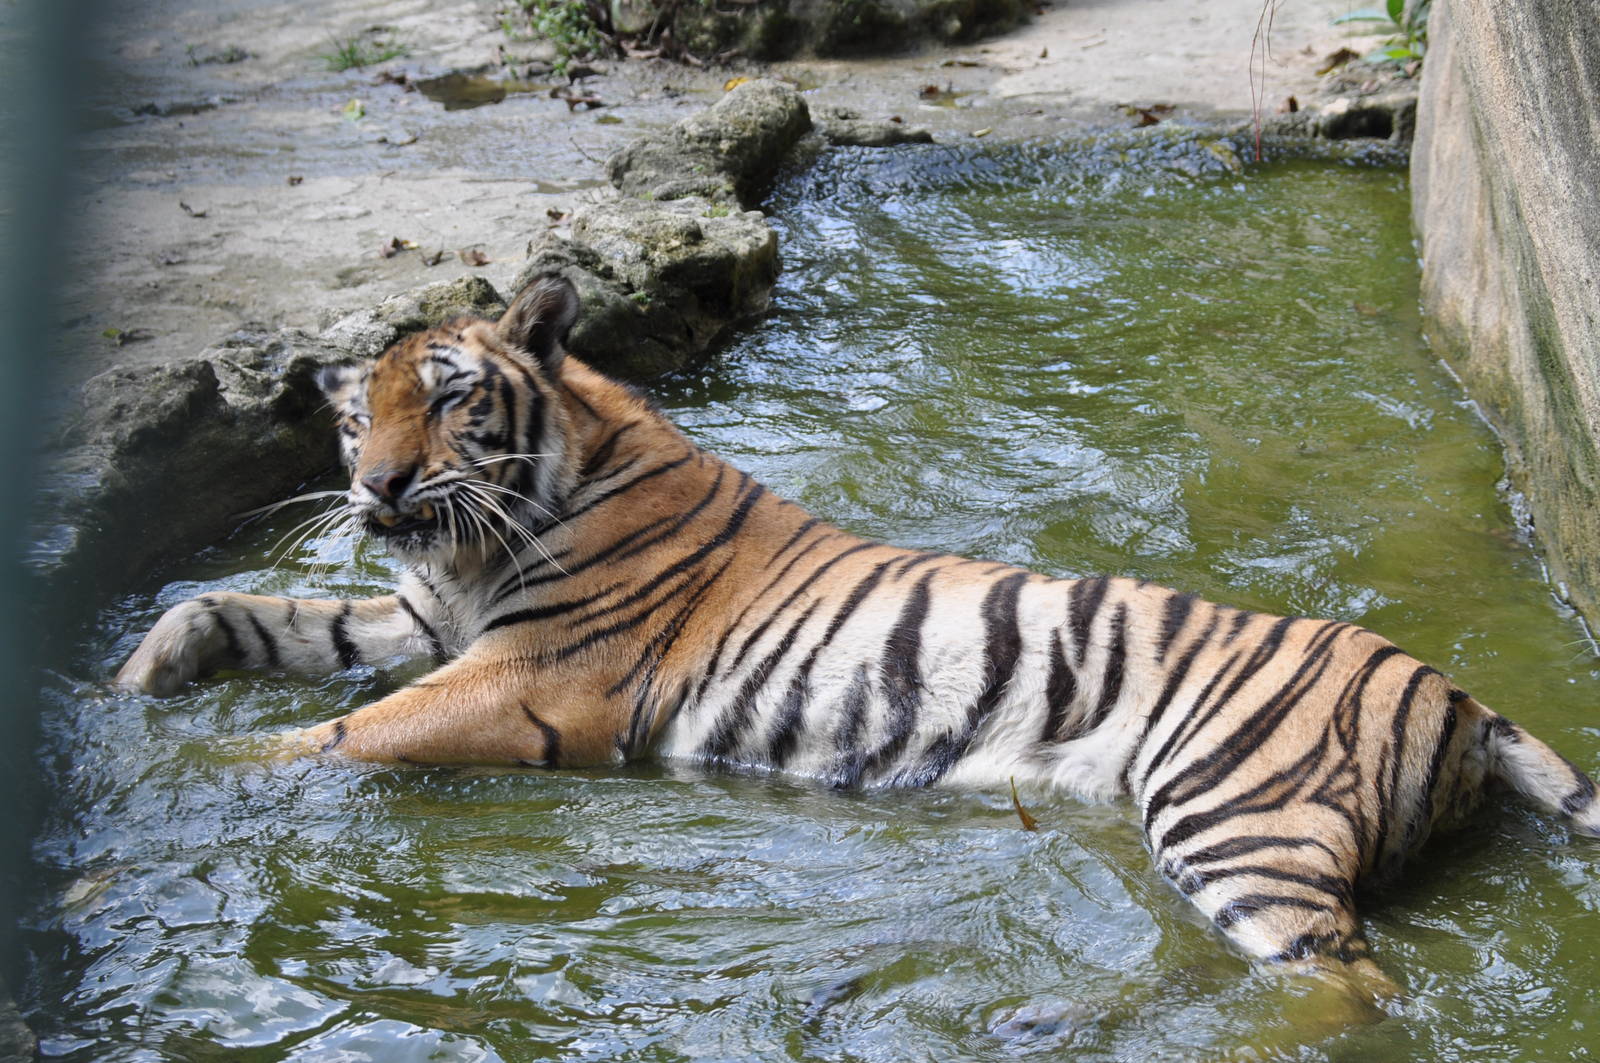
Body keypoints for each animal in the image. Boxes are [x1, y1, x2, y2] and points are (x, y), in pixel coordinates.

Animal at [117, 273, 1600, 1001]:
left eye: (443, 396)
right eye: (350, 416)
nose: (373, 489)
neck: (481, 540)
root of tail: (1462, 693)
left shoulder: (532, 679)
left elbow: (336, 735)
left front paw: (177, 793)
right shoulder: (422, 613)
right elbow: (235, 612)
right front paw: (136, 681)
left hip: (1240, 821)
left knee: (1355, 989)